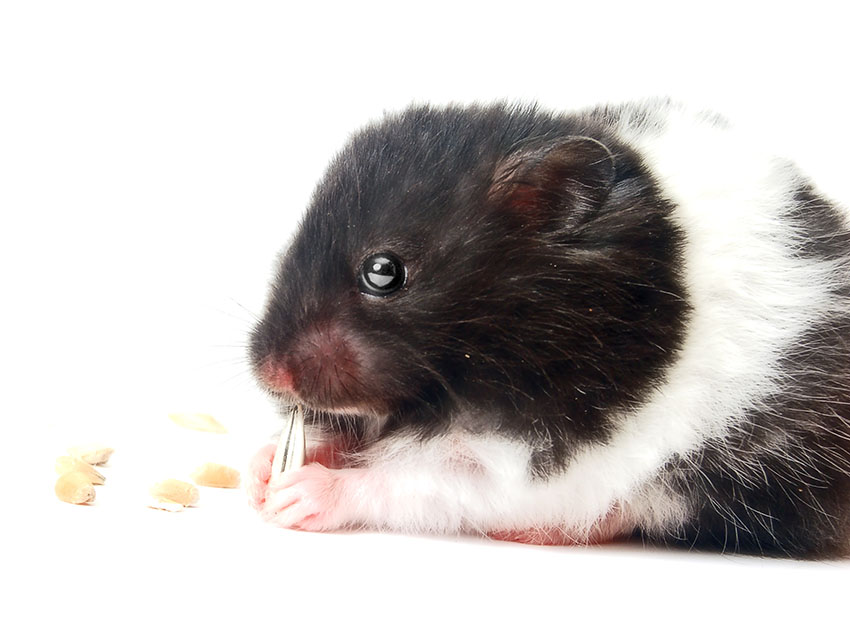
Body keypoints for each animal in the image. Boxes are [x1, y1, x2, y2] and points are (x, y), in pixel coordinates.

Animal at [246, 99, 850, 559]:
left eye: (383, 271)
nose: (269, 374)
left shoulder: (531, 459)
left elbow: (418, 481)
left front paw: (299, 494)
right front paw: (262, 470)